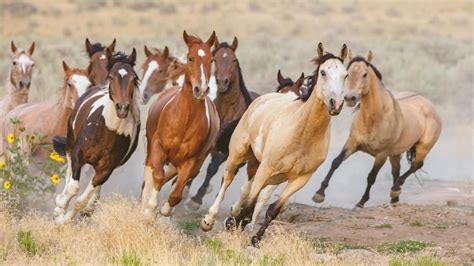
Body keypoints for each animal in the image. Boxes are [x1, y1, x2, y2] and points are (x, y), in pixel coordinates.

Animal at [53, 48, 141, 223]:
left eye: (134, 78)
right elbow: (73, 187)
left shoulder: (106, 169)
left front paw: (65, 220)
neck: (110, 130)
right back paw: (60, 202)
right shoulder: (78, 155)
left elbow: (81, 200)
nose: (122, 107)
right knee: (68, 174)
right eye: (111, 77)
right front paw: (60, 209)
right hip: (70, 143)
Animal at [141, 31, 220, 218]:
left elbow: (176, 193)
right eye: (191, 58)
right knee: (152, 176)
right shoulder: (157, 147)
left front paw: (165, 209)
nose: (201, 89)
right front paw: (149, 208)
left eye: (211, 59)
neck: (184, 120)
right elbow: (157, 176)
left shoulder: (191, 161)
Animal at [187, 35, 260, 206]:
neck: (227, 110)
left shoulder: (227, 150)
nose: (222, 82)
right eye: (215, 59)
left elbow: (212, 169)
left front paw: (196, 199)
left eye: (234, 59)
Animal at [201, 43, 348, 247]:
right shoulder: (266, 167)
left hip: (272, 174)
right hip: (239, 154)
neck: (302, 133)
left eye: (346, 75)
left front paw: (254, 239)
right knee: (228, 179)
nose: (336, 103)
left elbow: (273, 208)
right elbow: (250, 202)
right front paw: (232, 223)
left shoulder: (300, 178)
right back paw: (209, 220)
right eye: (323, 72)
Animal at [312, 50, 442, 208]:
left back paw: (396, 189)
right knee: (396, 172)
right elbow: (336, 162)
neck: (374, 119)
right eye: (348, 74)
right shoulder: (352, 143)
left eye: (365, 74)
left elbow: (371, 177)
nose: (350, 98)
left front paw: (361, 202)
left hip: (423, 147)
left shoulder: (381, 154)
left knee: (415, 165)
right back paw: (394, 198)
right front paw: (319, 194)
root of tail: (429, 105)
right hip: (395, 154)